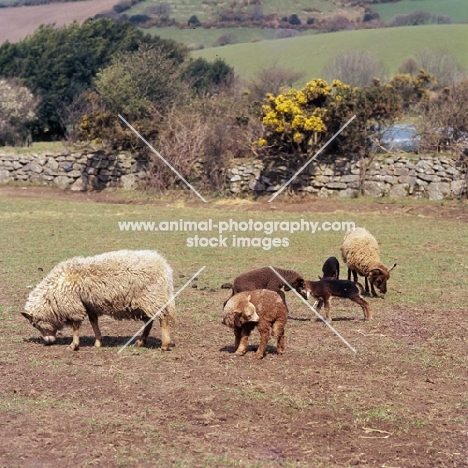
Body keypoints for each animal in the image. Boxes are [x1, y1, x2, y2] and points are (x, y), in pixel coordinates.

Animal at [21, 250, 176, 350]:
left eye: (34, 324)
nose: (48, 343)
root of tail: (164, 266)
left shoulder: (74, 306)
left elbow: (75, 326)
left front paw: (73, 345)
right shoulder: (89, 305)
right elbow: (93, 322)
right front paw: (98, 342)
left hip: (152, 297)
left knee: (164, 319)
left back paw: (165, 345)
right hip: (146, 301)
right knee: (149, 321)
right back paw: (140, 342)